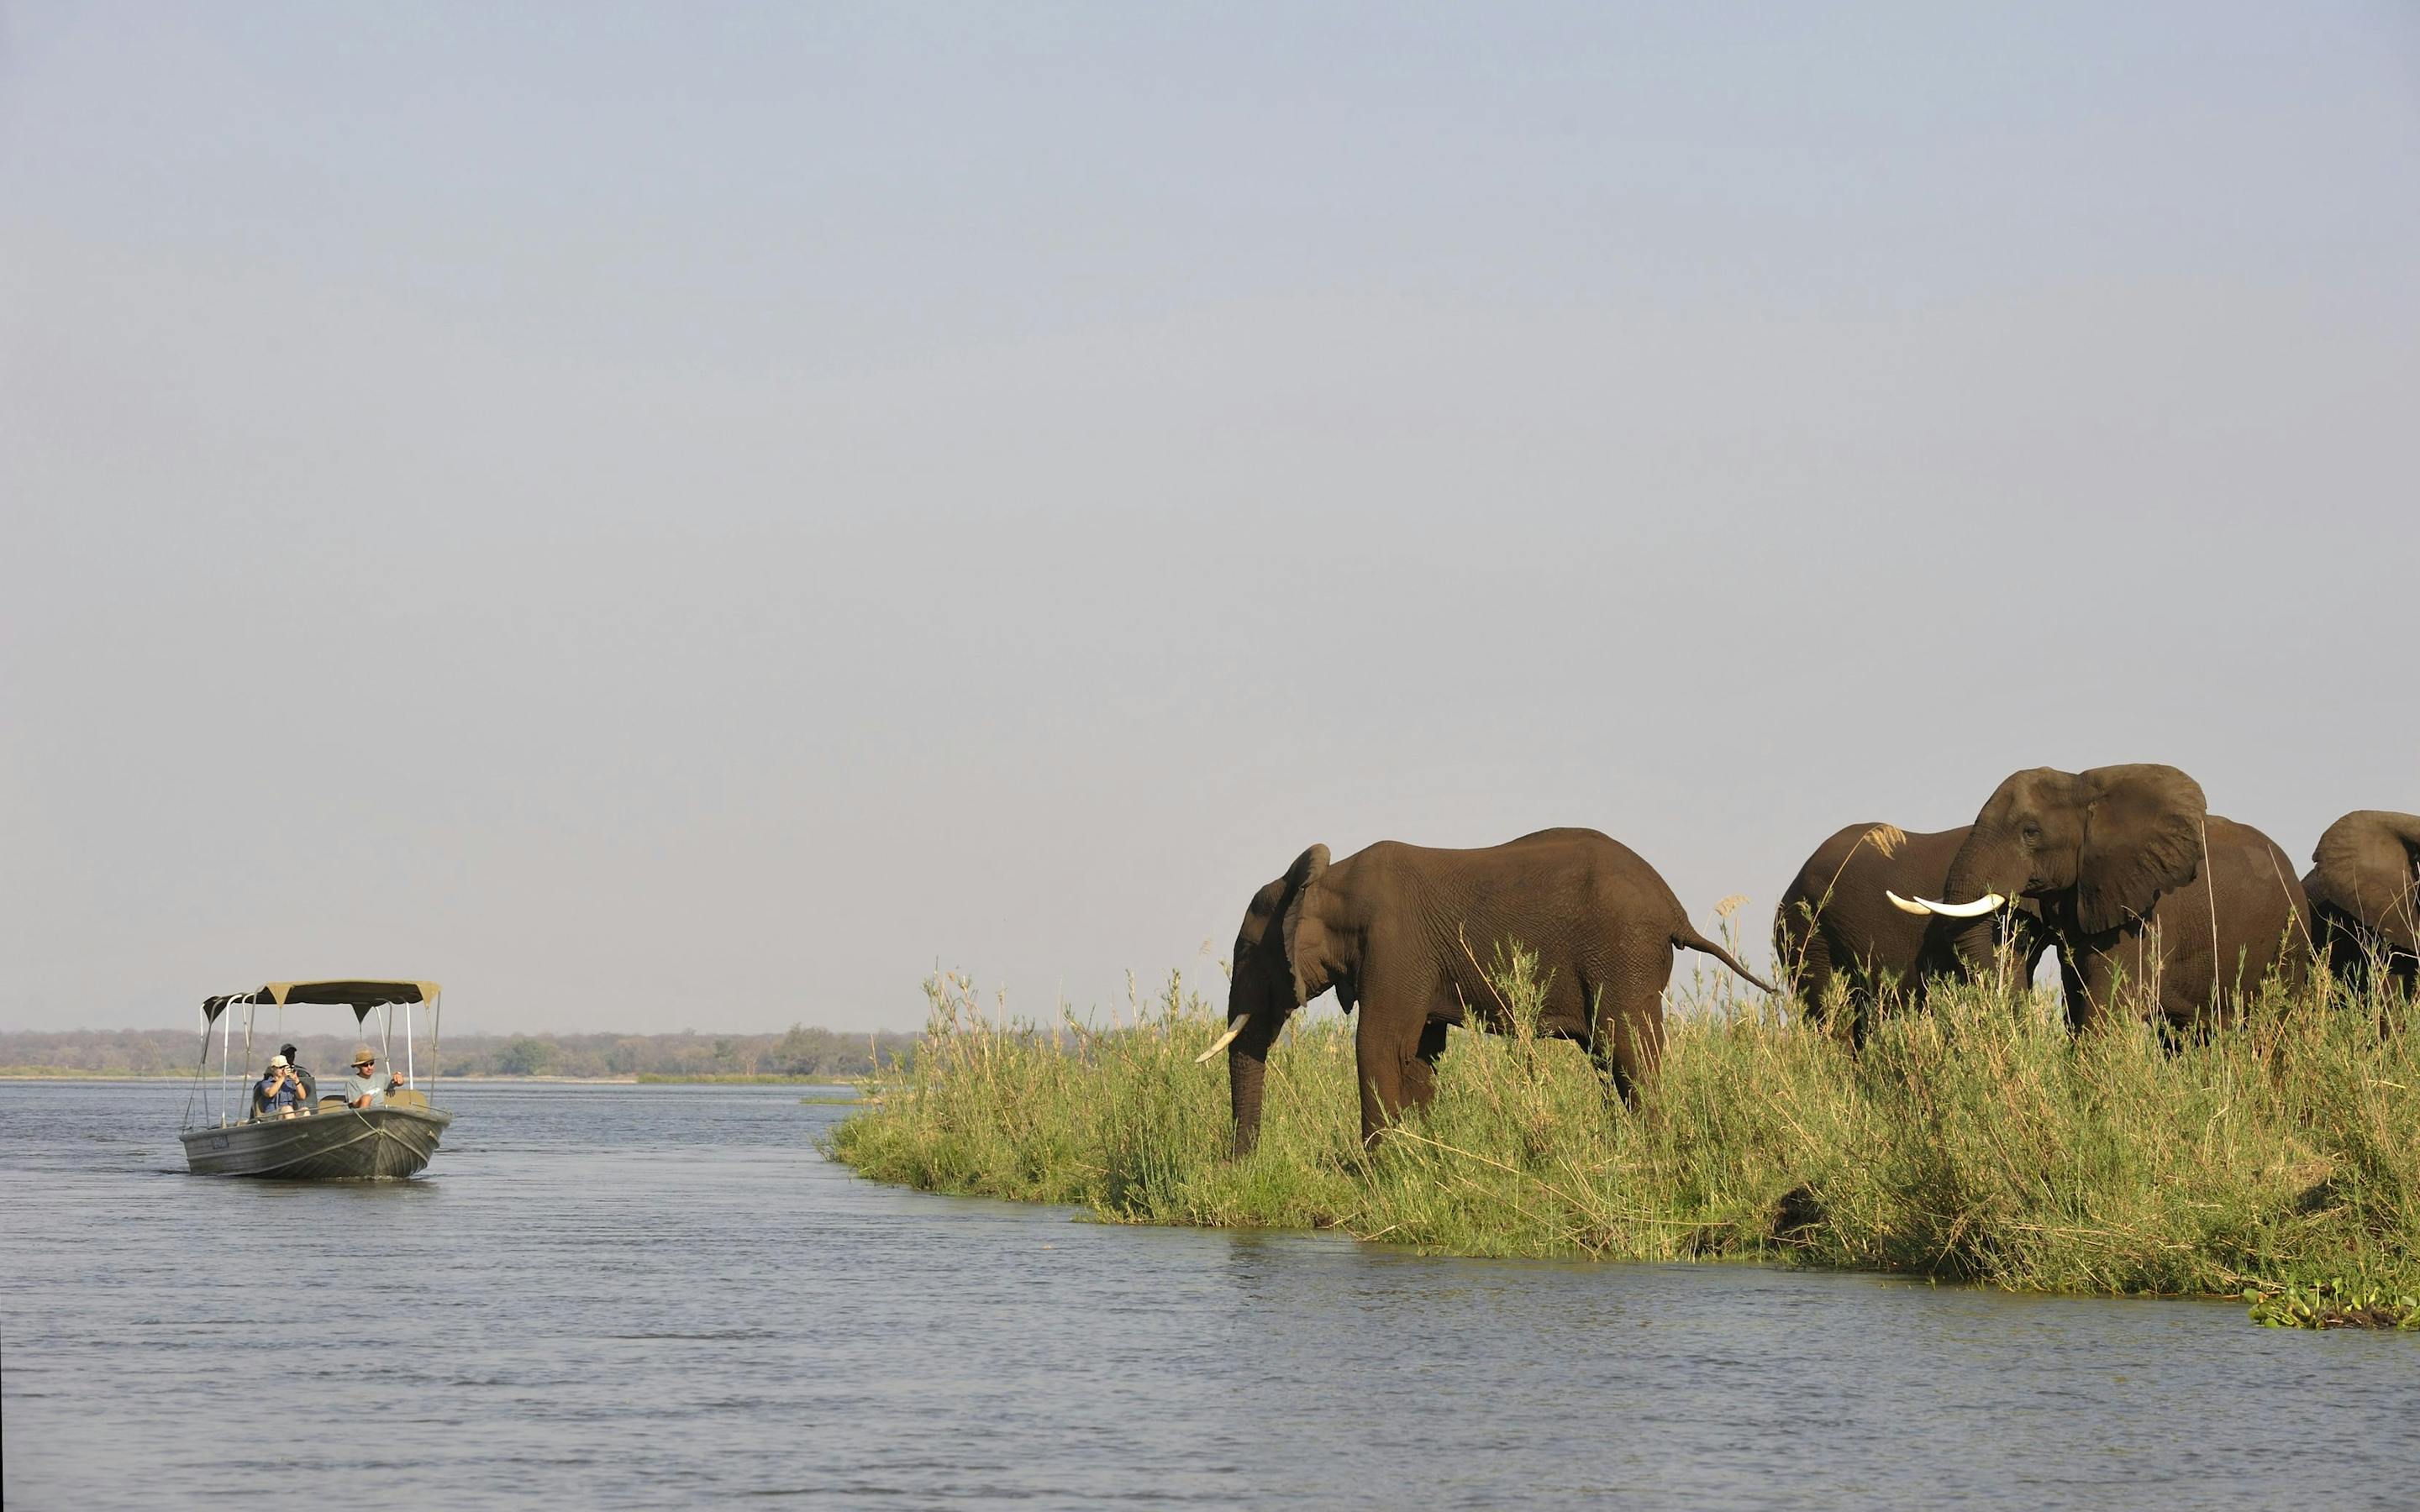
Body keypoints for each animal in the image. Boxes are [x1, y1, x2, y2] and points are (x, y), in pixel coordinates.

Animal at [1206, 828, 1774, 1154]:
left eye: (1247, 953)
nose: (1242, 1165)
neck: (1326, 880)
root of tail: (1676, 910)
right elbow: (1418, 1055)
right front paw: (1419, 1159)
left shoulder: (1396, 946)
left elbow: (1380, 1045)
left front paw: (1375, 1170)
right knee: (1611, 1059)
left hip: (1624, 955)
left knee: (1629, 1053)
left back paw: (1650, 1153)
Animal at [1891, 764, 2308, 1033]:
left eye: (2030, 832)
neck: (2085, 791)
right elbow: (2077, 1003)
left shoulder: (2147, 910)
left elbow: (2105, 1007)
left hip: (2291, 939)